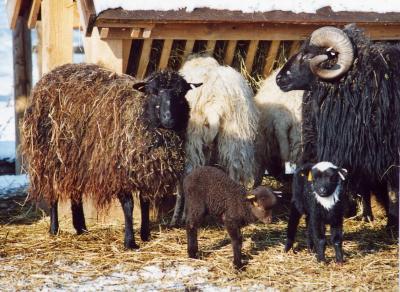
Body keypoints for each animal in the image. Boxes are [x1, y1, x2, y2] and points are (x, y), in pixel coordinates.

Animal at [21, 64, 199, 249]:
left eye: (181, 93)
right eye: (153, 92)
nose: (169, 119)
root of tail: (50, 74)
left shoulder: (145, 172)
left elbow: (145, 203)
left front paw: (145, 235)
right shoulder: (118, 173)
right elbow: (129, 206)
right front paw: (130, 242)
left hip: (76, 160)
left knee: (75, 192)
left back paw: (81, 227)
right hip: (49, 157)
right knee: (53, 192)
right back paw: (54, 229)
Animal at [171, 56, 260, 227]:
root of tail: (215, 101)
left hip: (193, 139)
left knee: (189, 174)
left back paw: (185, 216)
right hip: (235, 137)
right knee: (234, 171)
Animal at [276, 24, 398, 229]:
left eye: (308, 55)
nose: (279, 79)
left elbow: (393, 191)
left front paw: (391, 225)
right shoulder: (357, 147)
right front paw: (370, 217)